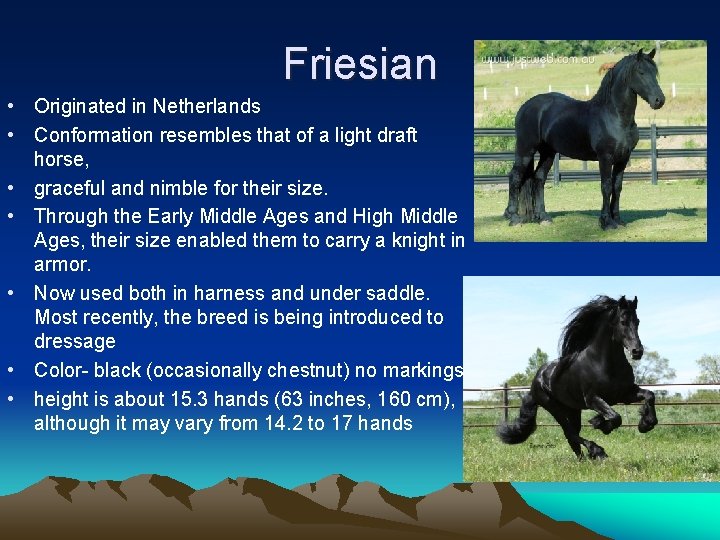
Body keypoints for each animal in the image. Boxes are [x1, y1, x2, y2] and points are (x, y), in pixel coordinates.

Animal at [497, 295, 658, 460]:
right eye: (623, 321)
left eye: (637, 321)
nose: (637, 351)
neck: (603, 363)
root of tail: (535, 381)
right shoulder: (592, 399)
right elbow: (615, 417)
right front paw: (601, 425)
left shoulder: (624, 394)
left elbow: (649, 395)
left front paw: (645, 424)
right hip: (555, 409)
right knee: (570, 433)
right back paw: (597, 452)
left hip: (573, 409)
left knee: (572, 437)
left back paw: (583, 458)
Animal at [504, 49, 665, 230]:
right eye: (641, 72)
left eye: (655, 72)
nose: (659, 100)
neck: (614, 116)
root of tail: (525, 107)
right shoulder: (605, 158)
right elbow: (606, 187)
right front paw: (606, 222)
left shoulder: (623, 158)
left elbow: (617, 187)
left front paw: (617, 220)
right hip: (525, 150)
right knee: (515, 176)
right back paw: (513, 217)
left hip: (548, 153)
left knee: (538, 178)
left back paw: (543, 217)